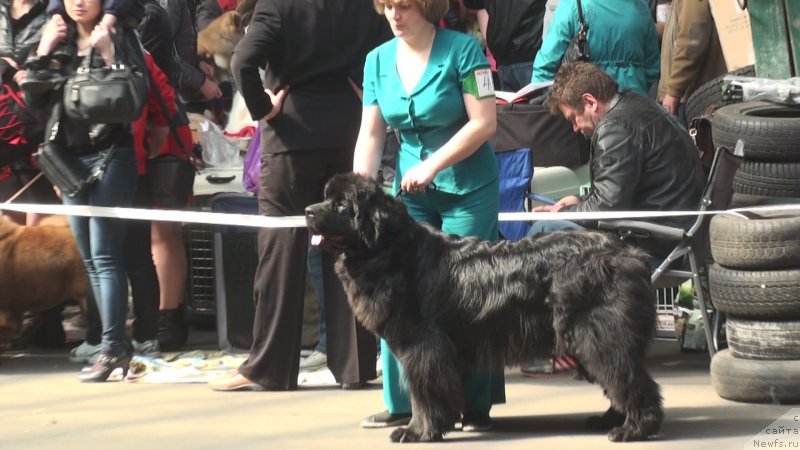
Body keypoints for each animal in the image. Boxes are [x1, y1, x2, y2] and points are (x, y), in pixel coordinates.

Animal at [306, 173, 664, 442]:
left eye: (341, 205)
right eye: (325, 197)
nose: (308, 210)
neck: (391, 250)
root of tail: (629, 253)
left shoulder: (423, 347)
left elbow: (424, 393)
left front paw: (418, 431)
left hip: (598, 334)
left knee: (628, 378)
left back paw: (633, 429)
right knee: (621, 377)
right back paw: (610, 420)